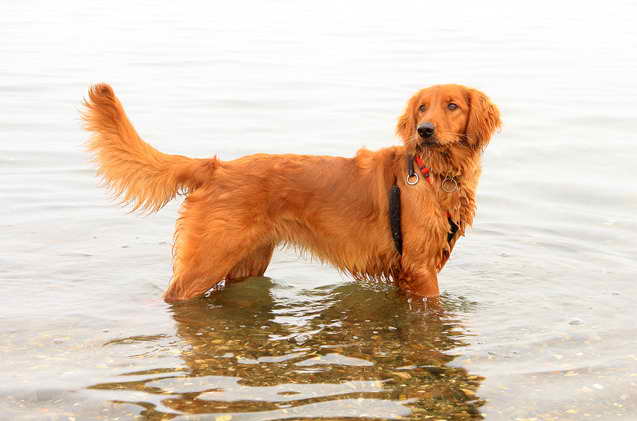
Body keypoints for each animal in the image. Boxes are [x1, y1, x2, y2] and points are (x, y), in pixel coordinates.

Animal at [83, 83, 502, 302]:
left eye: (452, 106)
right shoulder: (419, 268)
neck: (439, 175)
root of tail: (216, 167)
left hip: (247, 262)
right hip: (206, 261)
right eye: (421, 108)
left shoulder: (411, 271)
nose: (424, 130)